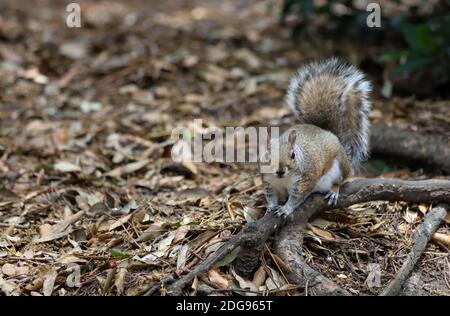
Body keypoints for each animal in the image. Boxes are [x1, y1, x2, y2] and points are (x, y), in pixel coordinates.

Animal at [262, 57, 370, 217]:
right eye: (267, 155)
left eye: (293, 155)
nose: (280, 171)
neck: (282, 179)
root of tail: (329, 133)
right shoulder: (269, 182)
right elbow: (271, 197)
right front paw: (270, 207)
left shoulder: (305, 180)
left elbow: (296, 198)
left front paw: (286, 209)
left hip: (339, 168)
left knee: (339, 182)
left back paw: (333, 192)